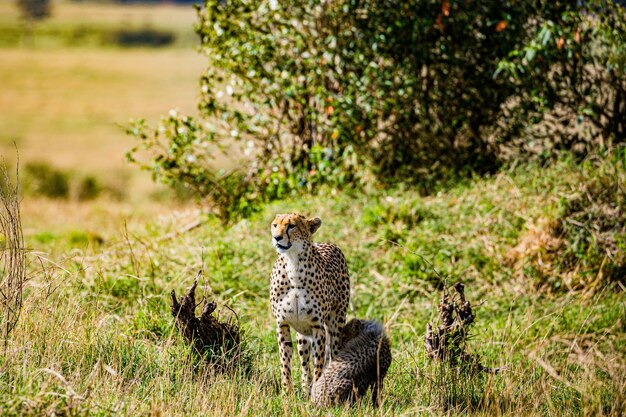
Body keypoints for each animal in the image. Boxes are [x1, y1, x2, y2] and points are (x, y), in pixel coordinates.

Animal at [266, 214, 348, 390]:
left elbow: (319, 363)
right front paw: (286, 392)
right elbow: (285, 362)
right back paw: (305, 387)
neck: (293, 265)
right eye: (275, 225)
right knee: (304, 364)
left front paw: (317, 389)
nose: (277, 237)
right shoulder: (282, 324)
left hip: (335, 325)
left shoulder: (318, 327)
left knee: (333, 353)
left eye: (291, 226)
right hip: (302, 335)